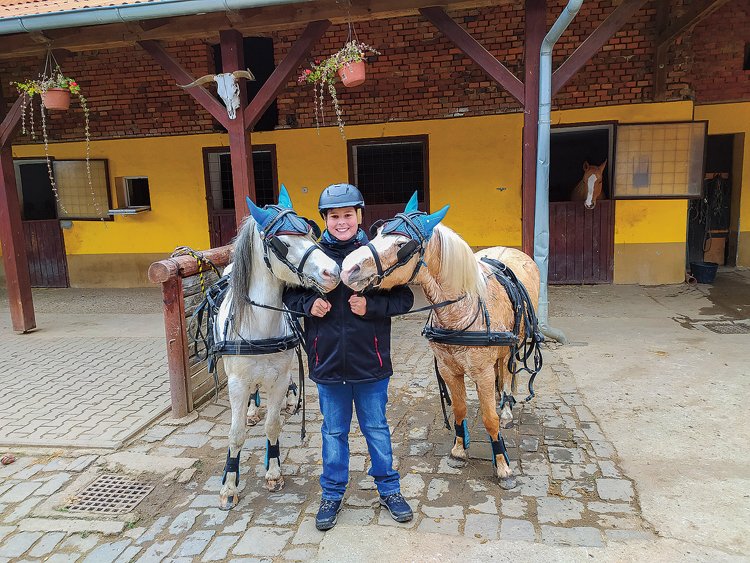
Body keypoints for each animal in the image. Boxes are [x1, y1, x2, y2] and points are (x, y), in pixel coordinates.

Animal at [213, 189, 340, 512]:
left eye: (310, 231)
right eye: (283, 243)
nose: (332, 271)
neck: (261, 325)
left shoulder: (280, 377)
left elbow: (273, 426)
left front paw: (273, 471)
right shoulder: (237, 382)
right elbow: (235, 435)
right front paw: (229, 485)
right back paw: (251, 410)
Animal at [340, 195, 540, 490]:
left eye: (401, 245)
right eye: (377, 233)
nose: (347, 268)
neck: (460, 311)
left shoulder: (481, 371)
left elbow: (489, 419)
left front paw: (503, 466)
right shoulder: (448, 368)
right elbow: (458, 409)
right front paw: (458, 450)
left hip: (512, 345)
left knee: (506, 372)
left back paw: (506, 408)